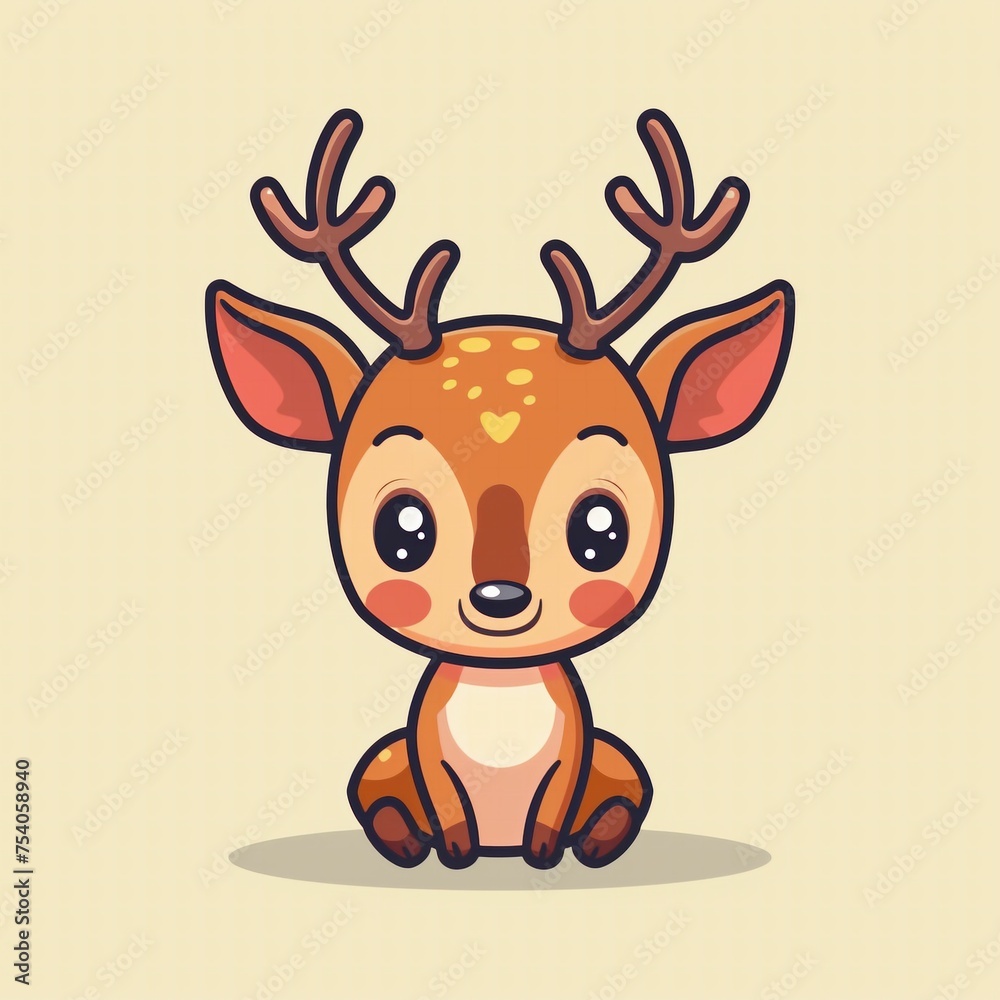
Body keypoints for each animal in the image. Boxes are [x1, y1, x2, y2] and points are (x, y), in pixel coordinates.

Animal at [205, 108, 794, 871]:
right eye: (402, 529)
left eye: (601, 529)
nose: (500, 598)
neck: (500, 691)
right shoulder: (423, 749)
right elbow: (445, 801)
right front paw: (454, 850)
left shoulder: (577, 750)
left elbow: (557, 803)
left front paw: (546, 852)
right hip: (382, 760)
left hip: (617, 760)